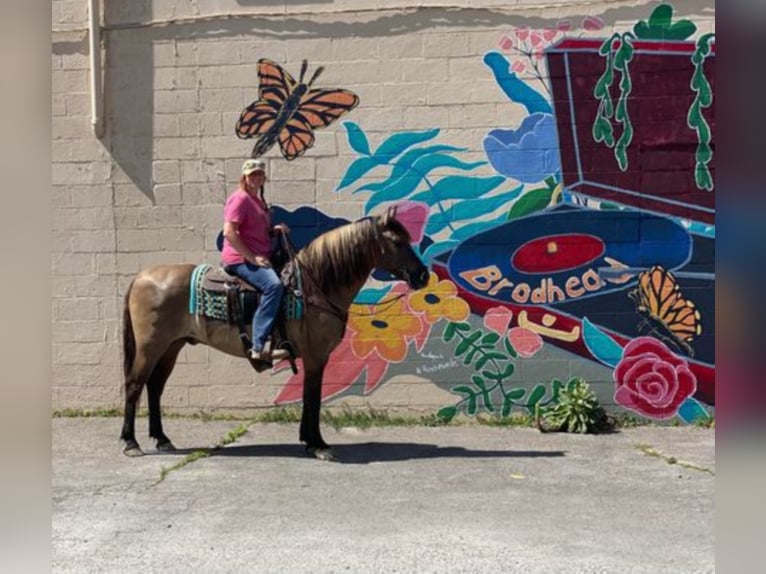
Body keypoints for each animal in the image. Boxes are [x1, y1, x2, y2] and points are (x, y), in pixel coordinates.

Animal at [121, 209, 432, 462]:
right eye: (397, 241)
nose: (423, 275)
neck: (314, 286)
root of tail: (140, 277)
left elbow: (309, 397)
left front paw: (309, 440)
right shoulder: (316, 356)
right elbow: (312, 397)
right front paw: (318, 444)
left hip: (171, 346)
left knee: (155, 387)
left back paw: (162, 439)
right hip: (151, 346)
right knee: (135, 384)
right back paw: (131, 443)